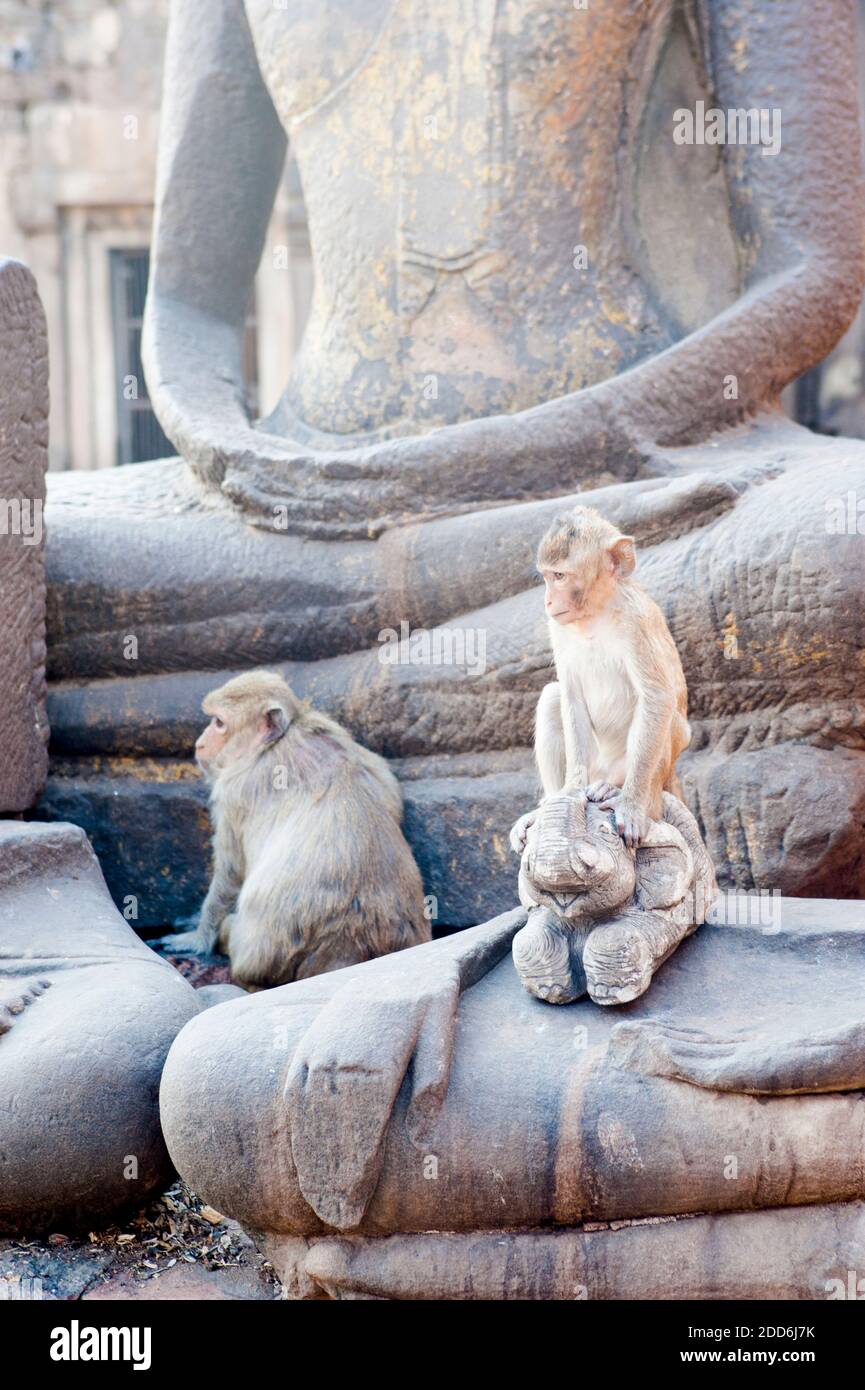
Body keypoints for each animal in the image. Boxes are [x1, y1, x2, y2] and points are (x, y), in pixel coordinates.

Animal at [158, 667, 431, 984]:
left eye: (219, 723)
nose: (200, 743)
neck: (280, 739)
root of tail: (345, 946)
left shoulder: (236, 789)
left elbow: (231, 872)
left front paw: (198, 936)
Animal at [514, 508, 692, 850]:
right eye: (546, 576)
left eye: (560, 576)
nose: (547, 602)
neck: (593, 615)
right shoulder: (557, 628)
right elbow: (569, 696)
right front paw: (570, 792)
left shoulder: (638, 621)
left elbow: (656, 696)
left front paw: (632, 806)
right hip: (596, 765)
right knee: (552, 697)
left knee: (666, 716)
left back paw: (625, 794)